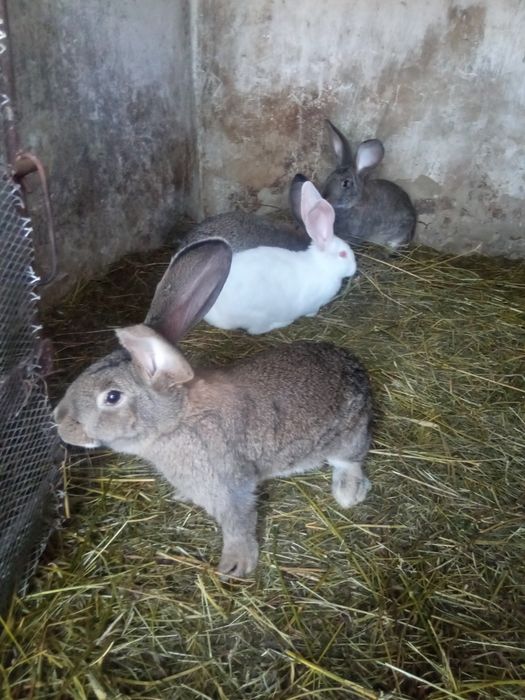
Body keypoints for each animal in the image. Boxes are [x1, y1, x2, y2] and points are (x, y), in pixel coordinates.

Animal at [54, 238, 373, 577]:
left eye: (112, 397)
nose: (59, 420)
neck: (177, 420)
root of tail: (356, 369)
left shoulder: (229, 484)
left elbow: (238, 523)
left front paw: (236, 565)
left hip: (346, 437)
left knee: (351, 461)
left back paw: (348, 492)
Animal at [203, 180, 357, 334]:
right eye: (343, 254)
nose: (354, 269)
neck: (321, 266)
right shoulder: (312, 304)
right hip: (260, 316)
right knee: (256, 330)